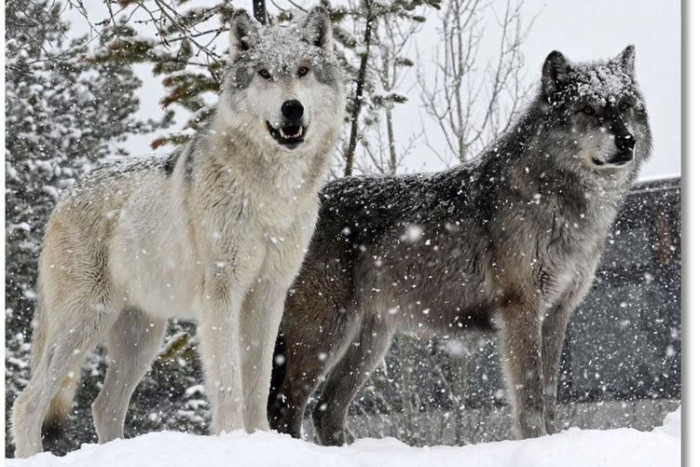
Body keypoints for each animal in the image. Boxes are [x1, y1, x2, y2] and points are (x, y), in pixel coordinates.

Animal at [11, 7, 345, 458]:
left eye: (303, 70)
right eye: (264, 73)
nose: (291, 108)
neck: (270, 195)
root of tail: (61, 200)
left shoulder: (268, 296)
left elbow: (258, 383)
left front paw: (260, 440)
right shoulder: (221, 294)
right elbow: (228, 382)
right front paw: (232, 440)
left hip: (143, 338)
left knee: (103, 406)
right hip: (85, 323)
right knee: (28, 401)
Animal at [268, 46, 652, 445]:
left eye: (625, 106)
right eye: (588, 109)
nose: (627, 140)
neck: (556, 200)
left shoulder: (558, 313)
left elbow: (549, 396)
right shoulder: (521, 308)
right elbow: (530, 395)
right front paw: (535, 442)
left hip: (371, 340)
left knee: (326, 410)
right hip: (324, 335)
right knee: (286, 406)